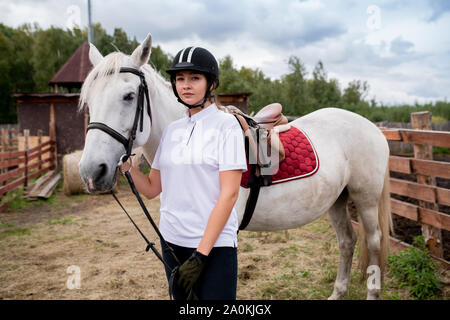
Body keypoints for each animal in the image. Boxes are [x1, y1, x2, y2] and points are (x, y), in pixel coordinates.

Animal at [79, 35, 392, 300]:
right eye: (89, 100)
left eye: (129, 96)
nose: (92, 172)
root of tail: (371, 127)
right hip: (337, 200)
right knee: (347, 242)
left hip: (365, 198)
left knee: (373, 242)